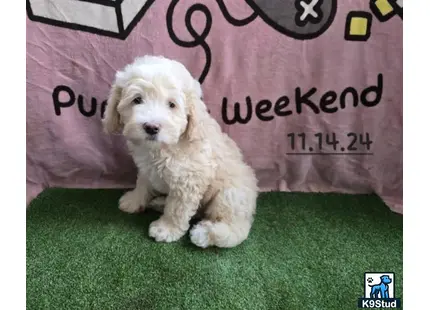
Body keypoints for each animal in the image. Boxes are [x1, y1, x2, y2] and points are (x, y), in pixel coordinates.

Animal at [103, 55, 258, 248]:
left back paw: (205, 233)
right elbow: (142, 184)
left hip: (230, 195)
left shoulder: (188, 180)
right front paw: (134, 201)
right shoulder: (146, 169)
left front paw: (166, 229)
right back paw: (160, 202)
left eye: (172, 105)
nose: (151, 127)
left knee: (235, 228)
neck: (162, 148)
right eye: (137, 100)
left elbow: (177, 209)